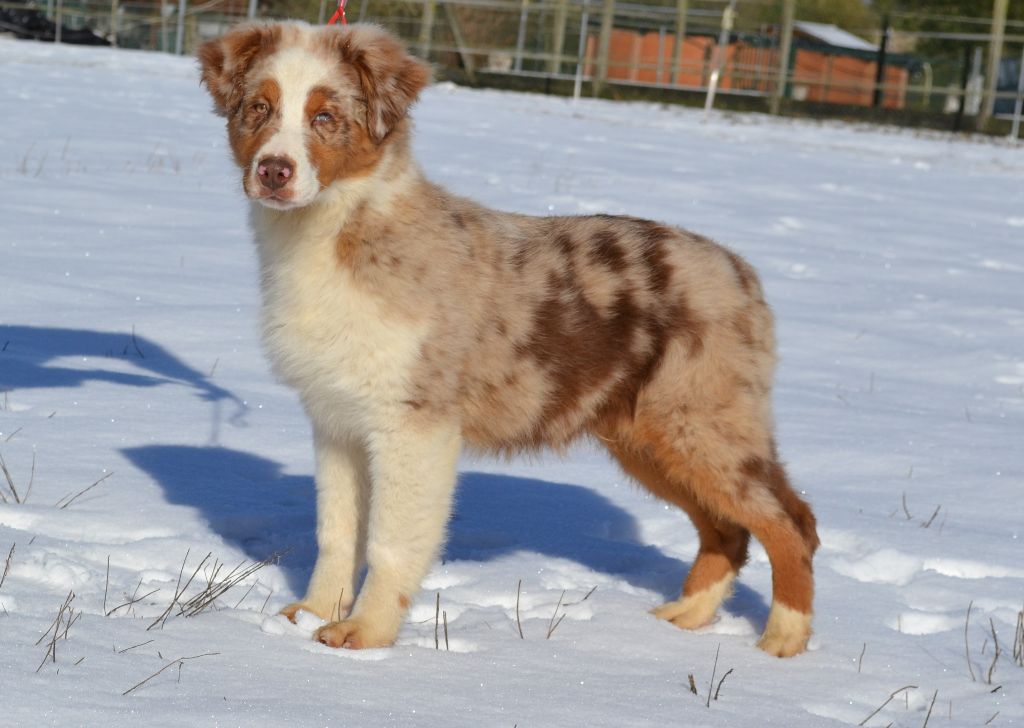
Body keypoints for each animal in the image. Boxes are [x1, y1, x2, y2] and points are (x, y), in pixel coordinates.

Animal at [198, 21, 819, 657]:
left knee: (790, 522)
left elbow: (391, 540)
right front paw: (309, 617)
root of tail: (741, 271)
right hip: (647, 437)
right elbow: (337, 531)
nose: (274, 171)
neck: (330, 234)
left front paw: (364, 635)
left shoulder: (413, 422)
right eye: (259, 108)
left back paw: (783, 642)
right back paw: (685, 617)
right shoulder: (336, 420)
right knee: (726, 529)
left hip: (704, 423)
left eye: (325, 117)